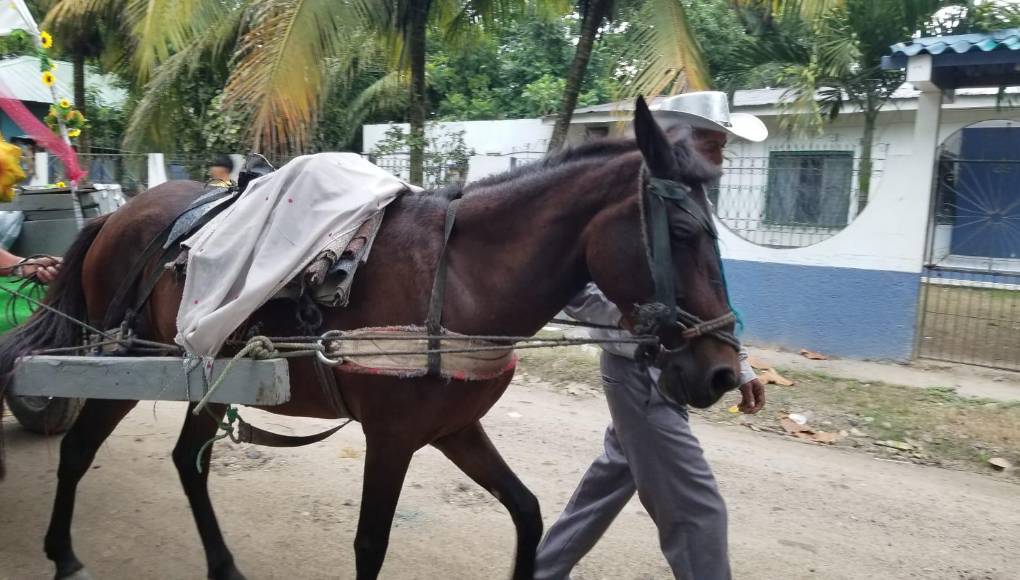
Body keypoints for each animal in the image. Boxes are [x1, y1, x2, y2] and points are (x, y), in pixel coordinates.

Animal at [0, 98, 741, 579]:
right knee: (78, 449)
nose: (724, 373)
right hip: (122, 358)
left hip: (201, 372)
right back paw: (62, 554)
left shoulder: (454, 429)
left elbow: (528, 513)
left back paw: (223, 566)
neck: (458, 278)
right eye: (683, 234)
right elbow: (369, 546)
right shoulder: (391, 437)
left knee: (188, 460)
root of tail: (118, 215)